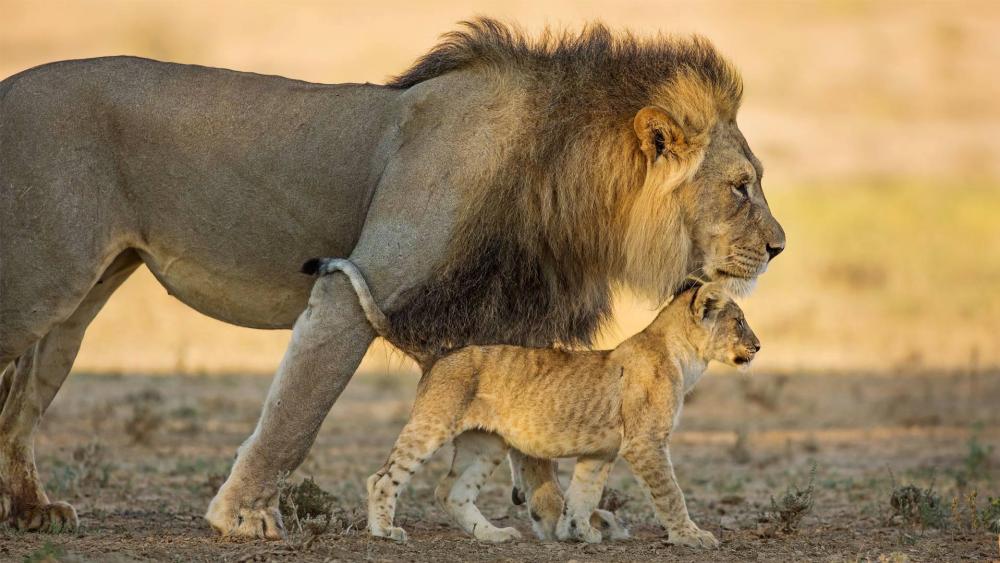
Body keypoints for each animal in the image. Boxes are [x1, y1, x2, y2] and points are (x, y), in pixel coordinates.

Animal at [317, 252, 758, 546]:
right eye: (738, 322)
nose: (757, 345)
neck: (684, 358)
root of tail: (439, 354)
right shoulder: (645, 444)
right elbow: (670, 493)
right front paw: (692, 536)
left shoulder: (600, 452)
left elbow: (583, 494)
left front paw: (579, 532)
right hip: (432, 424)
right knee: (383, 477)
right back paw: (384, 531)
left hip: (486, 444)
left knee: (450, 491)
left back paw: (493, 535)